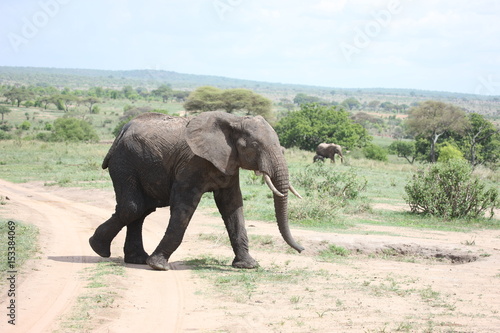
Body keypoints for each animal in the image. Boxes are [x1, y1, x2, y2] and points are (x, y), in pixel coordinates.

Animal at [88, 111, 302, 270]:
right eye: (255, 146)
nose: (301, 250)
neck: (235, 120)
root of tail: (121, 132)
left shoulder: (229, 162)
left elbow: (232, 205)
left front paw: (248, 265)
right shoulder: (191, 163)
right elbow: (184, 206)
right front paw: (158, 266)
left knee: (141, 210)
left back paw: (135, 259)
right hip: (124, 162)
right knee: (133, 207)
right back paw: (98, 248)